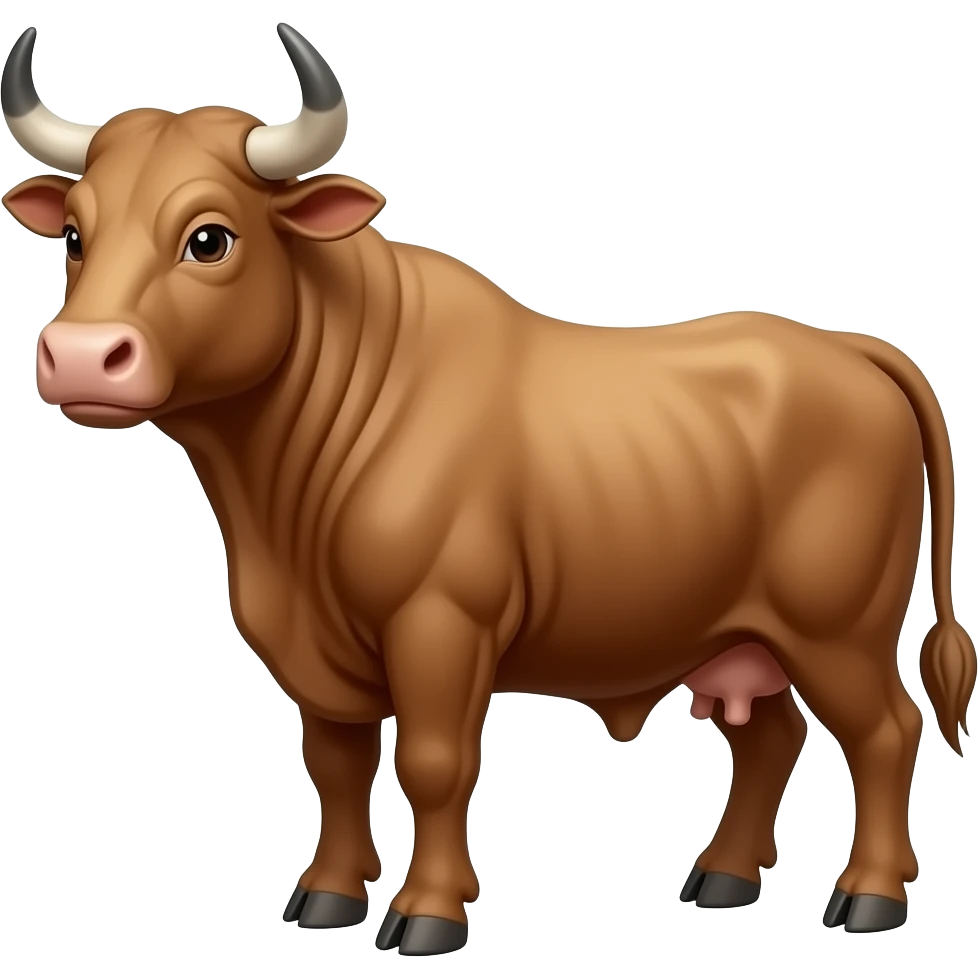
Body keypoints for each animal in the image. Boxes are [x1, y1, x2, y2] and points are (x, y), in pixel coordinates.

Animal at [4, 22, 976, 955]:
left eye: (209, 237)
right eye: (75, 237)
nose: (80, 355)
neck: (278, 513)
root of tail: (848, 347)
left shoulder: (440, 623)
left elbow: (434, 762)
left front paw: (428, 911)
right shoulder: (310, 647)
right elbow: (335, 762)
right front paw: (326, 894)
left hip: (838, 629)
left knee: (885, 732)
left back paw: (868, 896)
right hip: (738, 633)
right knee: (771, 738)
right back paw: (723, 877)